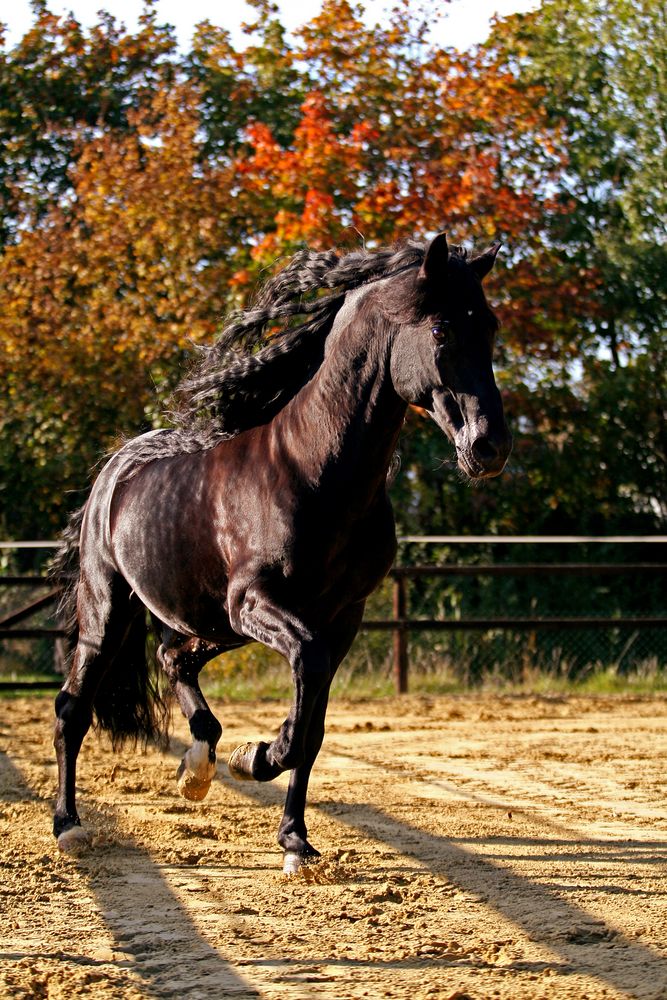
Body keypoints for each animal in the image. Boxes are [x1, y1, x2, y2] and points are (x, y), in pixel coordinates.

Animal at [52, 232, 512, 868]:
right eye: (442, 329)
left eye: (489, 326)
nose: (489, 447)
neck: (313, 471)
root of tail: (116, 468)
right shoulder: (261, 604)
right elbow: (303, 694)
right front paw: (256, 758)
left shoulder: (341, 620)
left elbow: (312, 729)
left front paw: (294, 838)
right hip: (114, 610)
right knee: (74, 709)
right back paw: (69, 826)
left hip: (212, 623)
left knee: (175, 660)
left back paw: (197, 769)